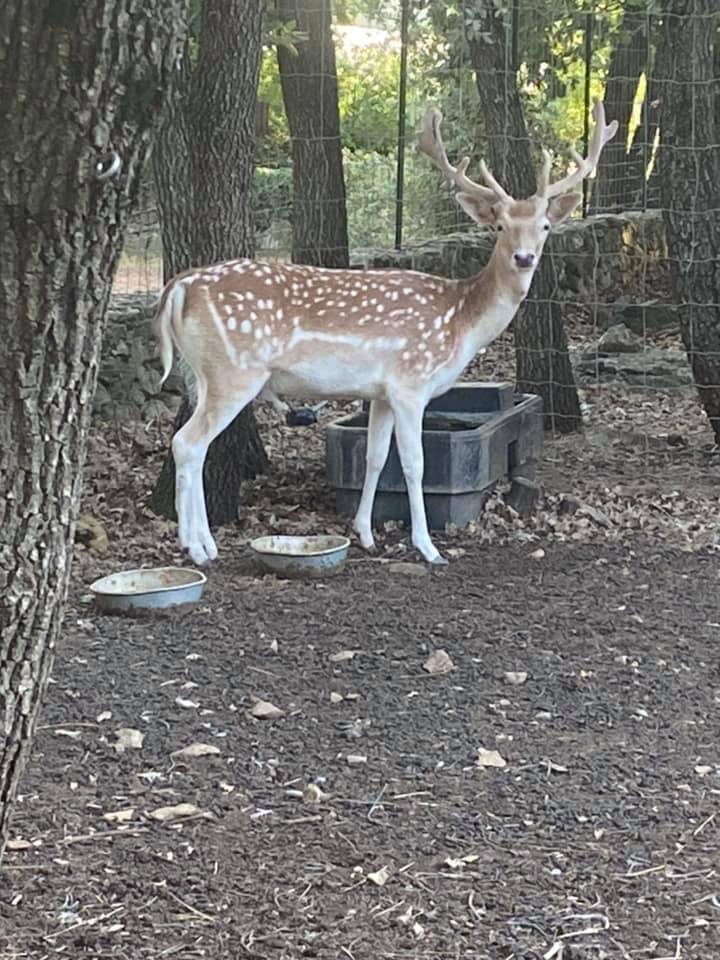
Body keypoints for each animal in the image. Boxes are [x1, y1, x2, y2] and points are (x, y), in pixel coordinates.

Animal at [155, 101, 616, 568]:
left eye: (544, 226)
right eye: (500, 226)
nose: (524, 258)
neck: (460, 321)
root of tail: (179, 287)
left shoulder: (380, 392)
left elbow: (375, 457)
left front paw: (365, 534)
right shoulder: (411, 382)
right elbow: (414, 464)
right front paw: (428, 547)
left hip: (203, 373)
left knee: (191, 445)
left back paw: (204, 543)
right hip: (232, 371)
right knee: (188, 443)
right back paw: (196, 549)